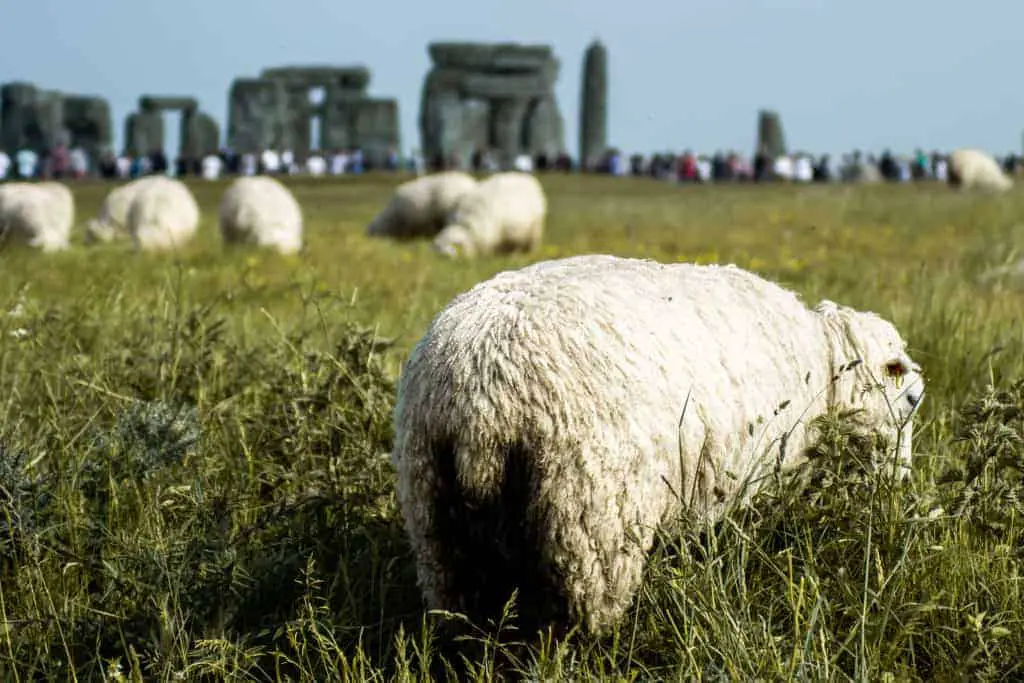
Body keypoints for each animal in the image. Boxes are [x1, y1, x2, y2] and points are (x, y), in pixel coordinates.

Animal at [391, 253, 929, 638]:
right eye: (911, 400)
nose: (901, 490)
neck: (826, 363)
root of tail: (482, 393)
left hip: (437, 523)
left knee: (463, 617)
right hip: (592, 525)